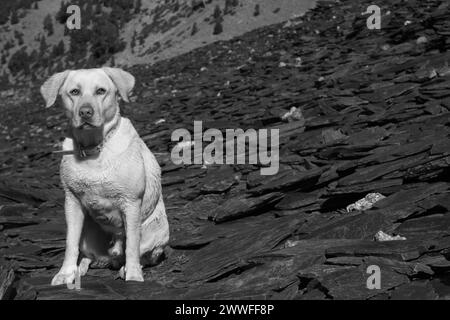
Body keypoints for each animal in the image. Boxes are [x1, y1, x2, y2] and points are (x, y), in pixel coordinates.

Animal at [40, 68, 170, 284]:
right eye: (74, 92)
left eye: (101, 90)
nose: (85, 112)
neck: (94, 149)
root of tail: (112, 256)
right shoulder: (72, 202)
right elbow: (70, 243)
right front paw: (65, 273)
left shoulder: (131, 202)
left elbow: (132, 245)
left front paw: (133, 276)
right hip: (88, 234)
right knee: (88, 255)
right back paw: (80, 269)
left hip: (154, 232)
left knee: (141, 253)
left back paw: (127, 267)